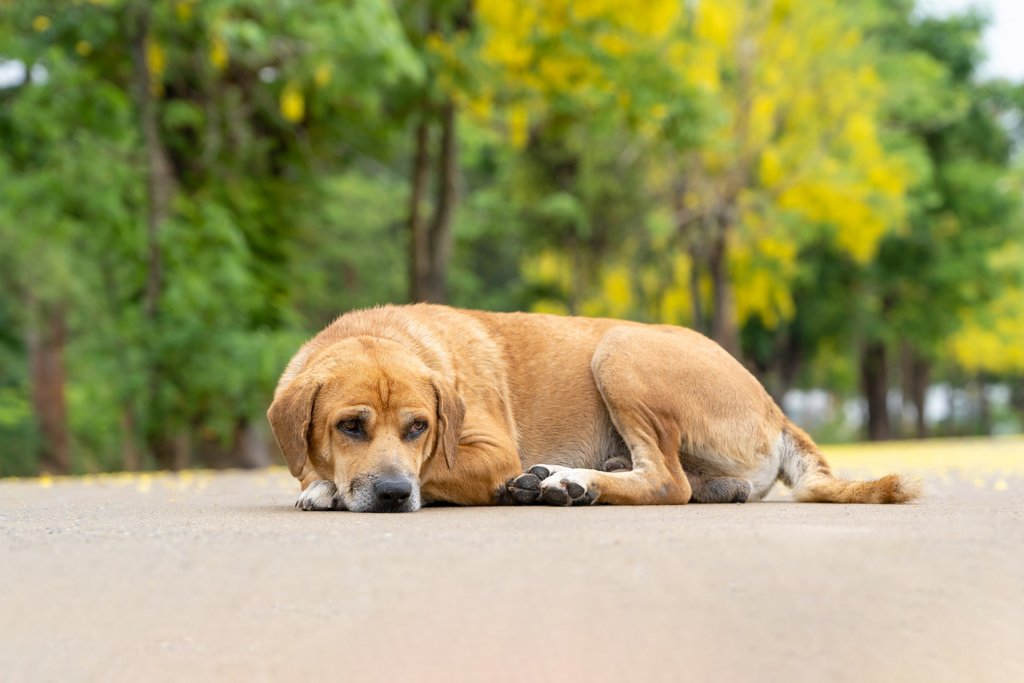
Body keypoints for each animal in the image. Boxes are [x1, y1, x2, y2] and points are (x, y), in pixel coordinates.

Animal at [266, 305, 921, 511]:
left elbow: (438, 468)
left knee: (668, 482)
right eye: (350, 426)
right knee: (691, 484)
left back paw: (565, 481)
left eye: (419, 427)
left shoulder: (488, 452)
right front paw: (321, 484)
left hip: (619, 350)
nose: (394, 495)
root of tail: (774, 407)